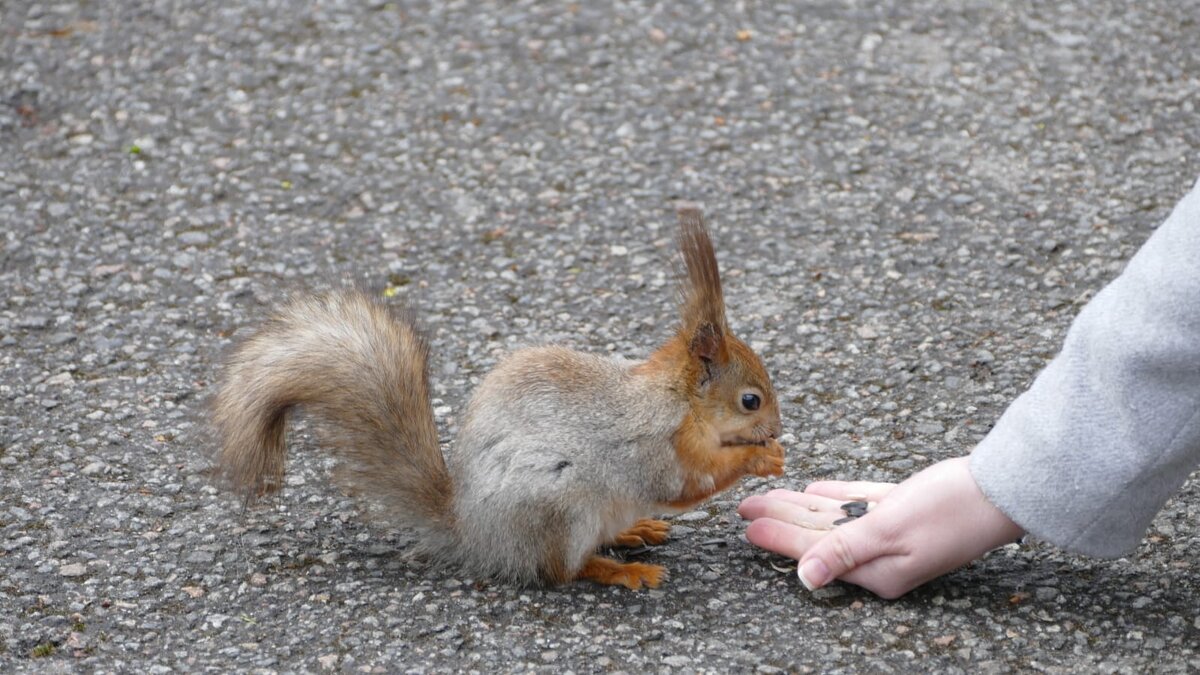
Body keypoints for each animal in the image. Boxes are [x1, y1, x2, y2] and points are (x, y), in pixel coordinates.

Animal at [211, 207, 782, 586]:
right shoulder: (652, 444)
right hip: (560, 509)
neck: (678, 400)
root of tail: (475, 534)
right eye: (750, 401)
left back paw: (631, 531)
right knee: (560, 570)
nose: (777, 430)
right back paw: (619, 570)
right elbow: (687, 482)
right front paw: (759, 458)